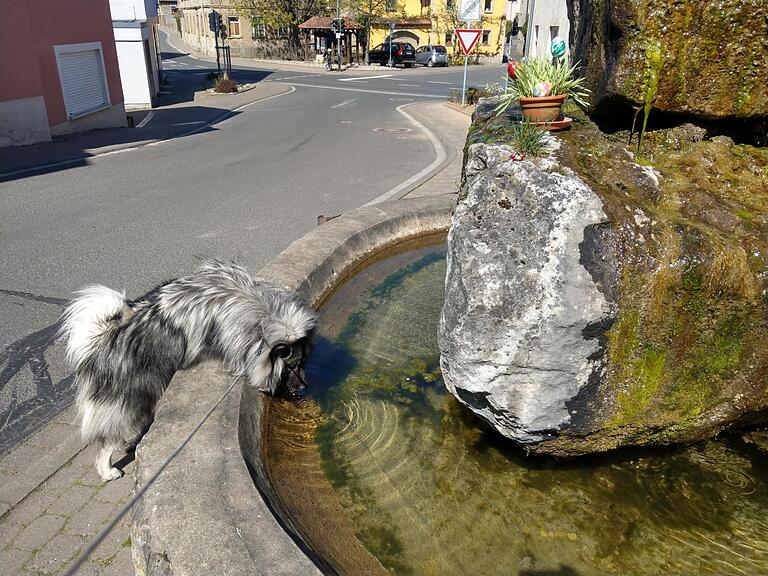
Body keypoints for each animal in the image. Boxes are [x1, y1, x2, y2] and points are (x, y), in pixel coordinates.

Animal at [58, 260, 318, 482]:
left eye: (303, 361)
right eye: (292, 366)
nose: (306, 386)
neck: (258, 314)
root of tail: (101, 340)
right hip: (132, 399)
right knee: (107, 442)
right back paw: (108, 470)